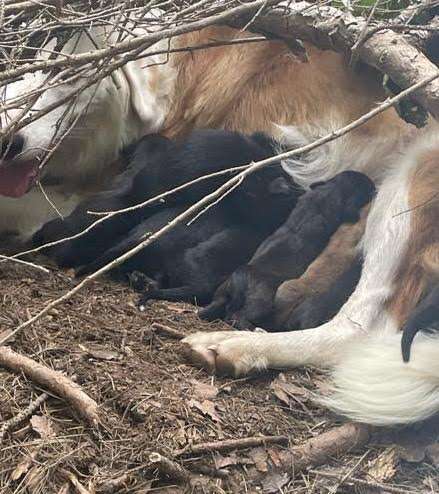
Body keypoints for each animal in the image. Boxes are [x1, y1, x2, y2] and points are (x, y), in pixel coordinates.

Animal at [201, 172, 376, 330]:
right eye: (366, 188)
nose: (374, 185)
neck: (328, 192)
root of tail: (240, 274)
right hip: (260, 303)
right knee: (238, 316)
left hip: (222, 293)